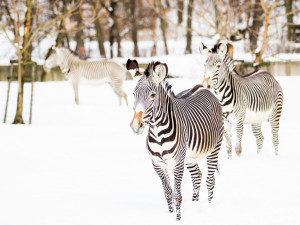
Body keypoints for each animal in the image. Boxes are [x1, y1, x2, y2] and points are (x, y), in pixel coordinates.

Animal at [126, 59, 223, 221]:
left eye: (153, 95)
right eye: (134, 94)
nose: (135, 125)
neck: (158, 133)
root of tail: (203, 87)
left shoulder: (177, 163)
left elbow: (177, 195)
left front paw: (178, 219)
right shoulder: (157, 164)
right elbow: (168, 193)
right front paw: (170, 214)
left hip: (214, 148)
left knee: (210, 180)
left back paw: (210, 207)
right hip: (189, 157)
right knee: (197, 176)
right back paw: (195, 204)